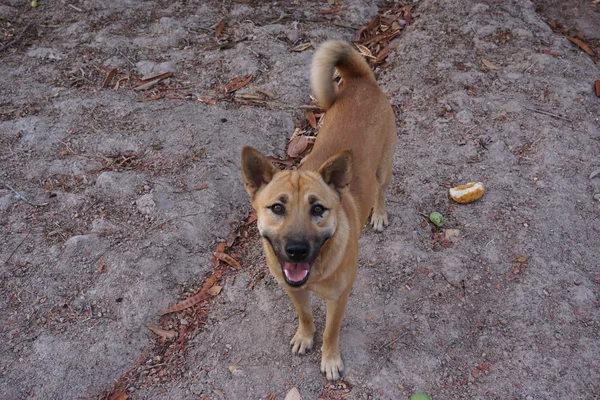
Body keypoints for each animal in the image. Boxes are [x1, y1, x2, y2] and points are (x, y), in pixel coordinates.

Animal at [239, 40, 398, 382]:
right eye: (277, 207)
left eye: (318, 208)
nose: (296, 250)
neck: (316, 269)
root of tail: (361, 80)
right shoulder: (293, 291)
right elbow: (306, 316)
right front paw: (304, 336)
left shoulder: (339, 298)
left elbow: (330, 331)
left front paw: (330, 359)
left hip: (384, 167)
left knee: (381, 189)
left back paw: (379, 214)